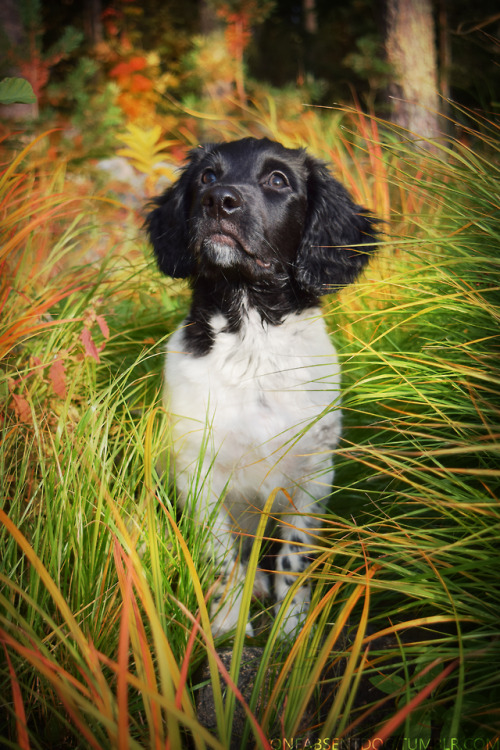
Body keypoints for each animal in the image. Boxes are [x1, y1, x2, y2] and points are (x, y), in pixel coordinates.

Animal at [146, 138, 376, 636]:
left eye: (277, 180)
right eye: (207, 177)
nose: (218, 201)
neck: (251, 342)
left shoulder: (313, 472)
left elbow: (293, 556)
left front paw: (291, 626)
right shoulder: (196, 472)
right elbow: (222, 558)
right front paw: (229, 624)